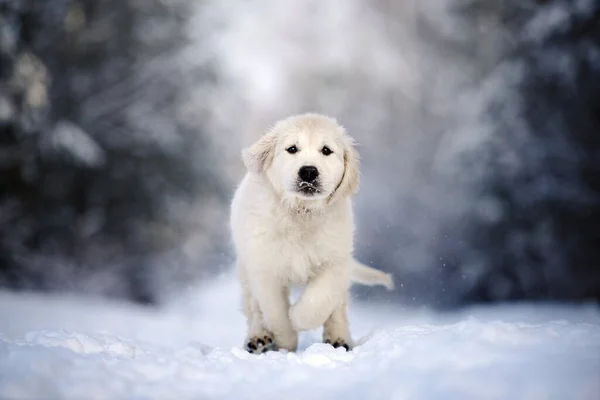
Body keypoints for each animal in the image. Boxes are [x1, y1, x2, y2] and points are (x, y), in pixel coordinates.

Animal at [231, 112, 394, 354]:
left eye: (326, 150)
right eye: (292, 149)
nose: (308, 171)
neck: (302, 212)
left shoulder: (334, 260)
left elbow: (318, 300)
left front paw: (298, 318)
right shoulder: (264, 267)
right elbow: (276, 311)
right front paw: (287, 341)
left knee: (338, 305)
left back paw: (338, 339)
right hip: (245, 266)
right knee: (253, 305)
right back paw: (258, 338)